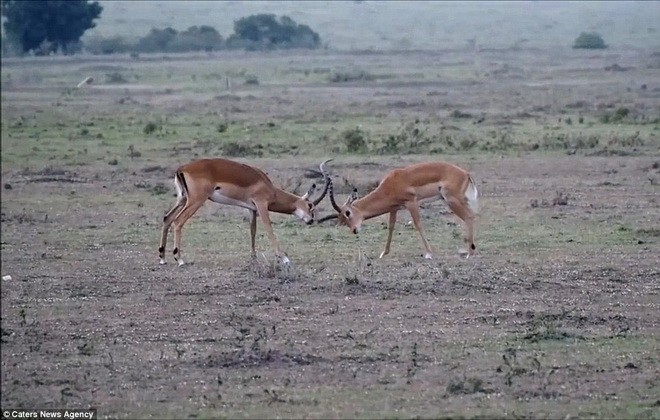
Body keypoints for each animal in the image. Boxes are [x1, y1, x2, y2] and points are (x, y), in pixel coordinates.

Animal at [158, 158, 332, 266]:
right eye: (310, 205)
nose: (311, 220)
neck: (269, 188)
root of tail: (182, 169)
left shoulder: (251, 209)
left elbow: (252, 230)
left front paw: (253, 257)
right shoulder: (261, 205)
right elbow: (269, 229)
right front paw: (284, 258)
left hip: (182, 199)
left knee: (167, 218)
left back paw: (162, 258)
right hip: (196, 200)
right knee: (178, 221)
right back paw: (180, 259)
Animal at [318, 161, 476, 260]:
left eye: (347, 213)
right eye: (342, 219)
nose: (354, 230)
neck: (391, 184)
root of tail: (466, 173)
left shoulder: (411, 203)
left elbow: (418, 224)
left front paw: (429, 253)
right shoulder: (394, 208)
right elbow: (391, 227)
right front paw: (384, 253)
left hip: (452, 201)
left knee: (469, 217)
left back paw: (469, 253)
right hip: (459, 201)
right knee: (472, 215)